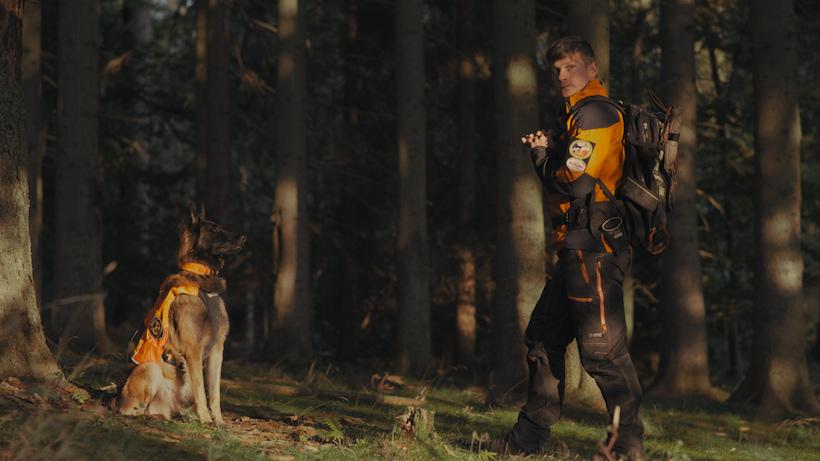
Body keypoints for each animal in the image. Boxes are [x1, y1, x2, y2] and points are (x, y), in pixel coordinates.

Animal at [117, 204, 246, 424]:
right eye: (214, 230)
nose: (243, 237)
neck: (202, 283)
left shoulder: (217, 349)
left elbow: (215, 392)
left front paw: (219, 421)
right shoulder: (193, 350)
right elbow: (201, 389)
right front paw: (206, 419)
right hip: (149, 369)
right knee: (131, 411)